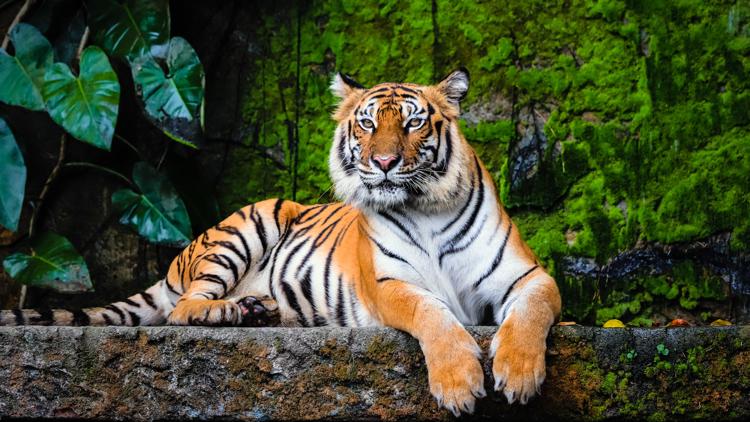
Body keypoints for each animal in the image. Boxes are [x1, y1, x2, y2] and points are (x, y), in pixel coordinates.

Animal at [1, 69, 561, 416]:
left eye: (413, 122)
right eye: (366, 123)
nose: (383, 162)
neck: (425, 207)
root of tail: (177, 260)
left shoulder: (529, 276)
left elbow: (530, 314)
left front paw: (518, 374)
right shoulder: (390, 283)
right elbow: (435, 316)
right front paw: (460, 384)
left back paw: (258, 309)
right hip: (250, 224)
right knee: (182, 309)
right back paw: (229, 311)